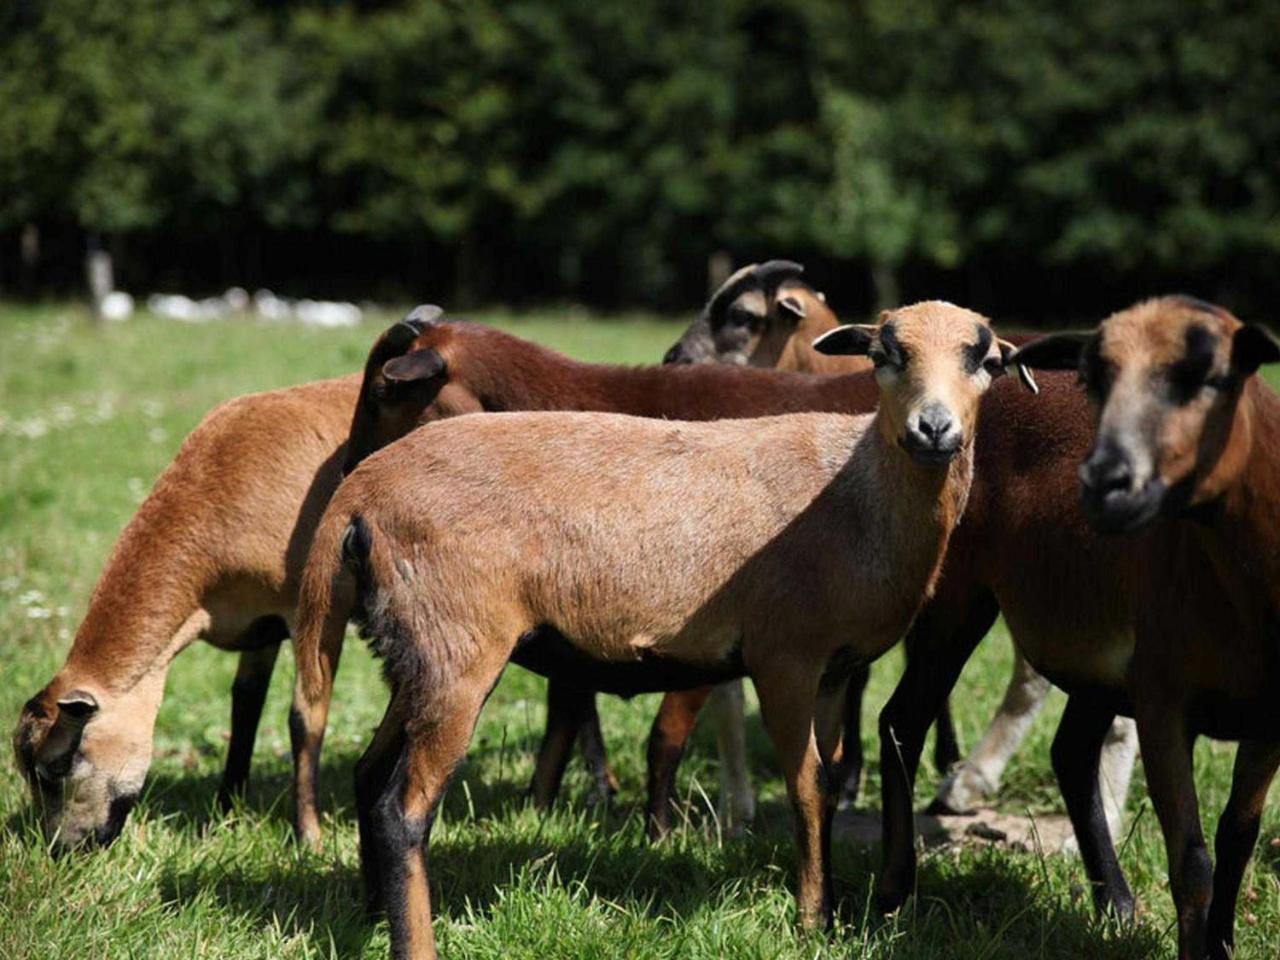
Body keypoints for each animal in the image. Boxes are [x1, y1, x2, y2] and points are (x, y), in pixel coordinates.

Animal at [11, 373, 360, 849]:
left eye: (55, 768)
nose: (62, 850)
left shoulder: (316, 611)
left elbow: (305, 717)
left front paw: (308, 837)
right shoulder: (260, 623)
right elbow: (245, 704)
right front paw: (226, 811)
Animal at [294, 300, 1024, 957]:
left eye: (986, 361)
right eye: (884, 355)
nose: (935, 429)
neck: (857, 494)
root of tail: (359, 494)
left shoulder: (835, 670)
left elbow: (830, 780)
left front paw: (833, 910)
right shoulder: (785, 657)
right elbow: (807, 787)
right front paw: (814, 921)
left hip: (415, 649)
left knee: (368, 775)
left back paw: (370, 916)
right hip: (457, 648)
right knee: (403, 810)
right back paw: (412, 941)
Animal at [1008, 299, 1280, 960]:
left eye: (1211, 376)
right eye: (1091, 378)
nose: (1105, 484)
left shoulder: (1268, 717)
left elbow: (1239, 834)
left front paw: (1224, 944)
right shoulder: (1162, 702)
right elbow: (1192, 863)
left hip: (1098, 662)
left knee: (1071, 751)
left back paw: (1118, 906)